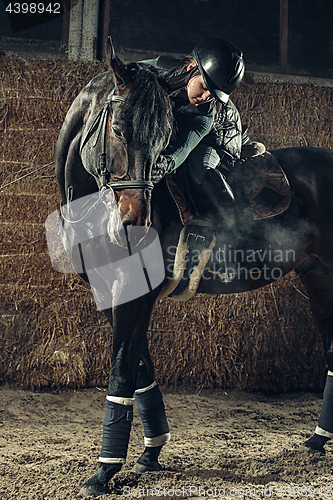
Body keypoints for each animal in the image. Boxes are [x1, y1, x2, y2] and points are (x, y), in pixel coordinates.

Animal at [53, 40, 332, 496]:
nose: (135, 221)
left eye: (162, 138)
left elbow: (121, 371)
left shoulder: (134, 292)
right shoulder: (115, 293)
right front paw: (151, 452)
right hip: (318, 276)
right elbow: (140, 370)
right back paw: (317, 440)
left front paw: (104, 471)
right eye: (118, 130)